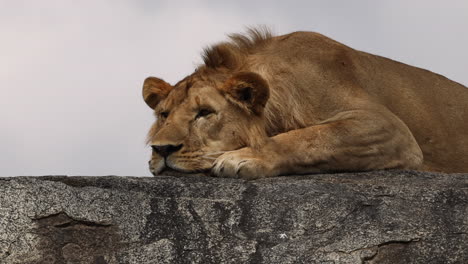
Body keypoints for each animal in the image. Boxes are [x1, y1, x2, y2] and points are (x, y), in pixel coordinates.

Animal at [142, 28, 468, 179]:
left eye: (205, 113)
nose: (162, 149)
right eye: (164, 115)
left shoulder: (389, 129)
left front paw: (242, 158)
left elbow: (309, 138)